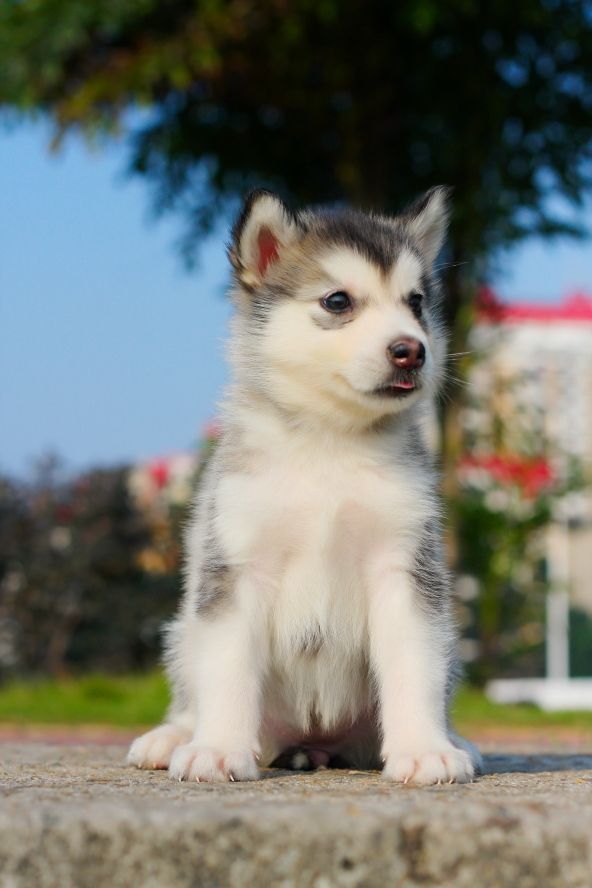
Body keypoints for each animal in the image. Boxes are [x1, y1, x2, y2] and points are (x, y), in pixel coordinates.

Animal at [128, 187, 480, 784]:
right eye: (337, 301)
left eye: (415, 302)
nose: (412, 350)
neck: (328, 444)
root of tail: (315, 745)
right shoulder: (237, 564)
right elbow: (227, 668)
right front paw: (217, 749)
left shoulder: (406, 565)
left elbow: (414, 666)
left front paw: (424, 750)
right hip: (183, 633)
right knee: (192, 692)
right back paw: (172, 737)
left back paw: (457, 740)